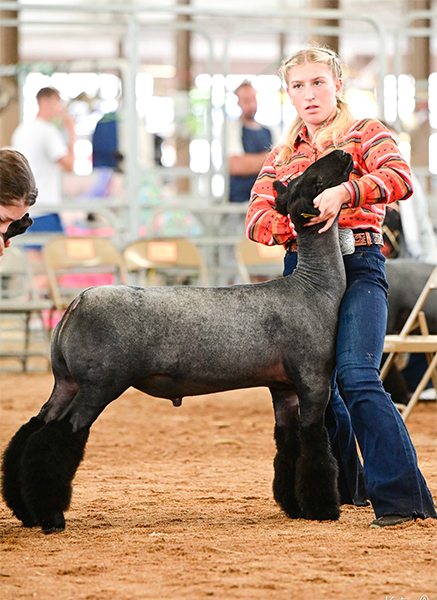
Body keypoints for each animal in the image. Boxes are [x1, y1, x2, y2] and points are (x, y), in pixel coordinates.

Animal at [0, 148, 354, 532]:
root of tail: (77, 302)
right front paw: (323, 508)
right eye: (315, 179)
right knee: (59, 435)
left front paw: (293, 506)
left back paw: (25, 510)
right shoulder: (314, 380)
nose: (342, 153)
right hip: (99, 383)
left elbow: (288, 445)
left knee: (33, 430)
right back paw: (50, 516)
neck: (314, 286)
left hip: (66, 381)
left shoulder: (283, 388)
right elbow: (315, 443)